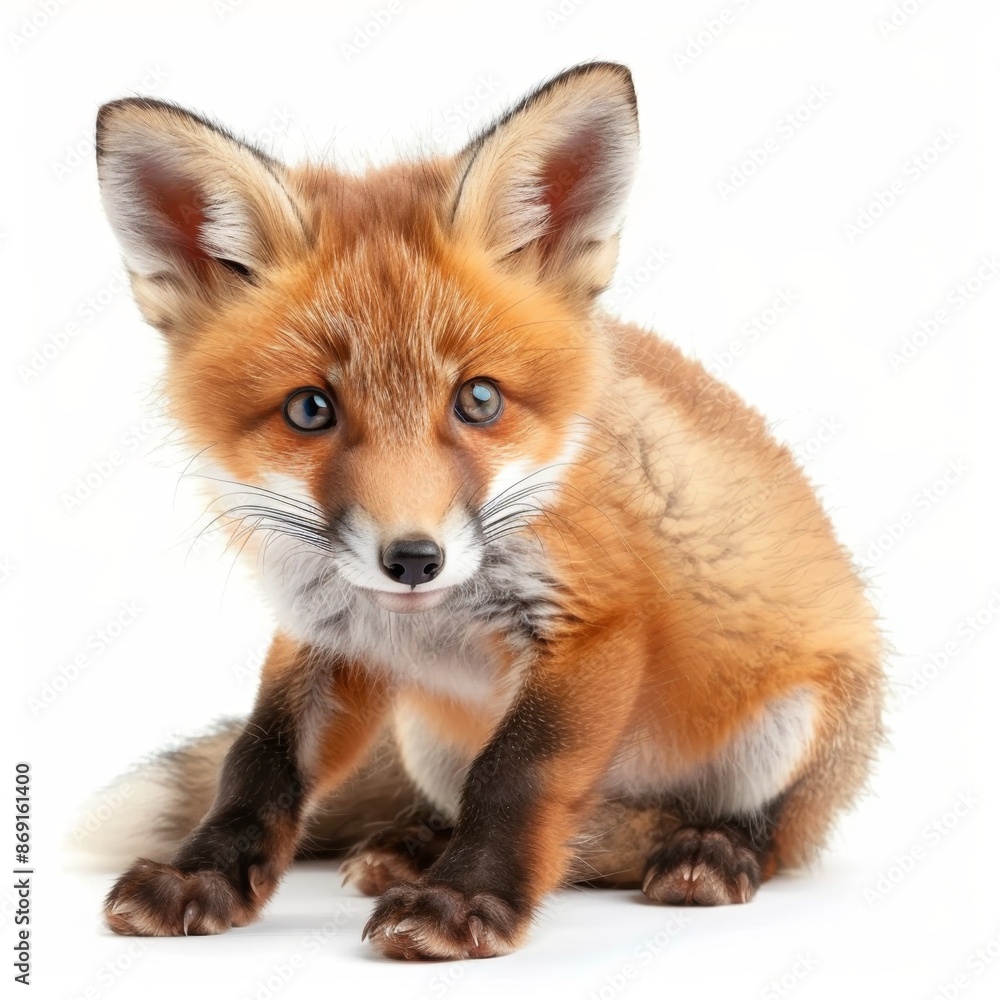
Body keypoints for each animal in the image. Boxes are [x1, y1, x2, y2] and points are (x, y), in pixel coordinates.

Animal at [92, 62, 884, 960]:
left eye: (478, 400)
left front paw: (464, 900)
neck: (431, 621)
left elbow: (516, 777)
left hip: (789, 727)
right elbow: (256, 763)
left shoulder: (593, 622)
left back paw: (705, 851)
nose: (412, 559)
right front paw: (203, 875)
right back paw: (418, 845)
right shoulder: (331, 636)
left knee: (758, 833)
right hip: (428, 741)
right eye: (309, 410)